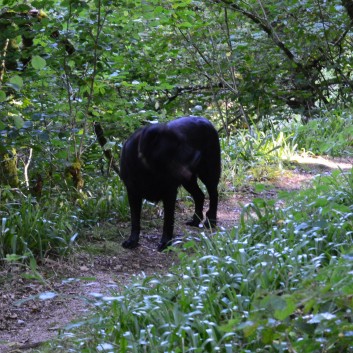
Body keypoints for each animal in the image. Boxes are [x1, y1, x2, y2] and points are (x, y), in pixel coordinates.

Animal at [120, 115, 220, 250]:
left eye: (183, 141)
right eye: (176, 145)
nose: (197, 155)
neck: (148, 169)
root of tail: (206, 120)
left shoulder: (169, 193)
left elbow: (168, 220)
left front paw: (165, 242)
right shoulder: (133, 193)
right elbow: (135, 220)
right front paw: (132, 241)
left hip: (209, 173)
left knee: (214, 194)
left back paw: (211, 221)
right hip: (189, 181)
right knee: (200, 195)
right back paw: (195, 221)